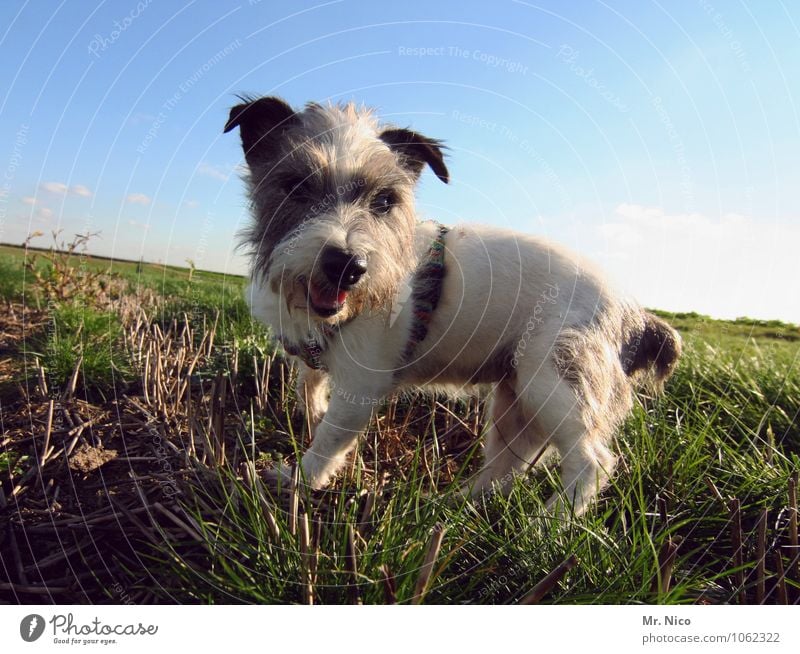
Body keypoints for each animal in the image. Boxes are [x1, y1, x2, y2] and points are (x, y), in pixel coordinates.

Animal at [227, 96, 680, 516]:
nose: (347, 267)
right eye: (296, 186)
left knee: (591, 463)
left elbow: (329, 438)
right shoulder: (315, 359)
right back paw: (456, 505)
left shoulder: (359, 388)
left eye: (384, 201)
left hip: (556, 381)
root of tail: (636, 314)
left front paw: (299, 480)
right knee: (508, 466)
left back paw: (546, 526)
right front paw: (309, 419)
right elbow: (309, 390)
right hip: (515, 399)